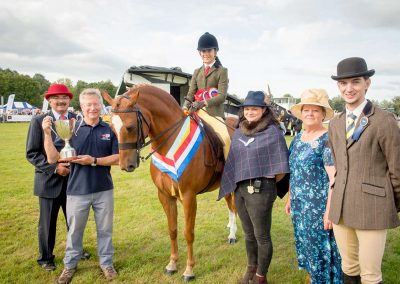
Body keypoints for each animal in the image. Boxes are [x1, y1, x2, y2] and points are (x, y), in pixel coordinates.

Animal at [101, 85, 238, 280]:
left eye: (130, 127)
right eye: (112, 127)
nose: (126, 165)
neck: (169, 147)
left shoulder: (189, 196)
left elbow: (188, 233)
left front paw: (189, 270)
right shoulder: (164, 195)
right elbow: (172, 230)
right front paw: (172, 264)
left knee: (234, 207)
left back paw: (233, 235)